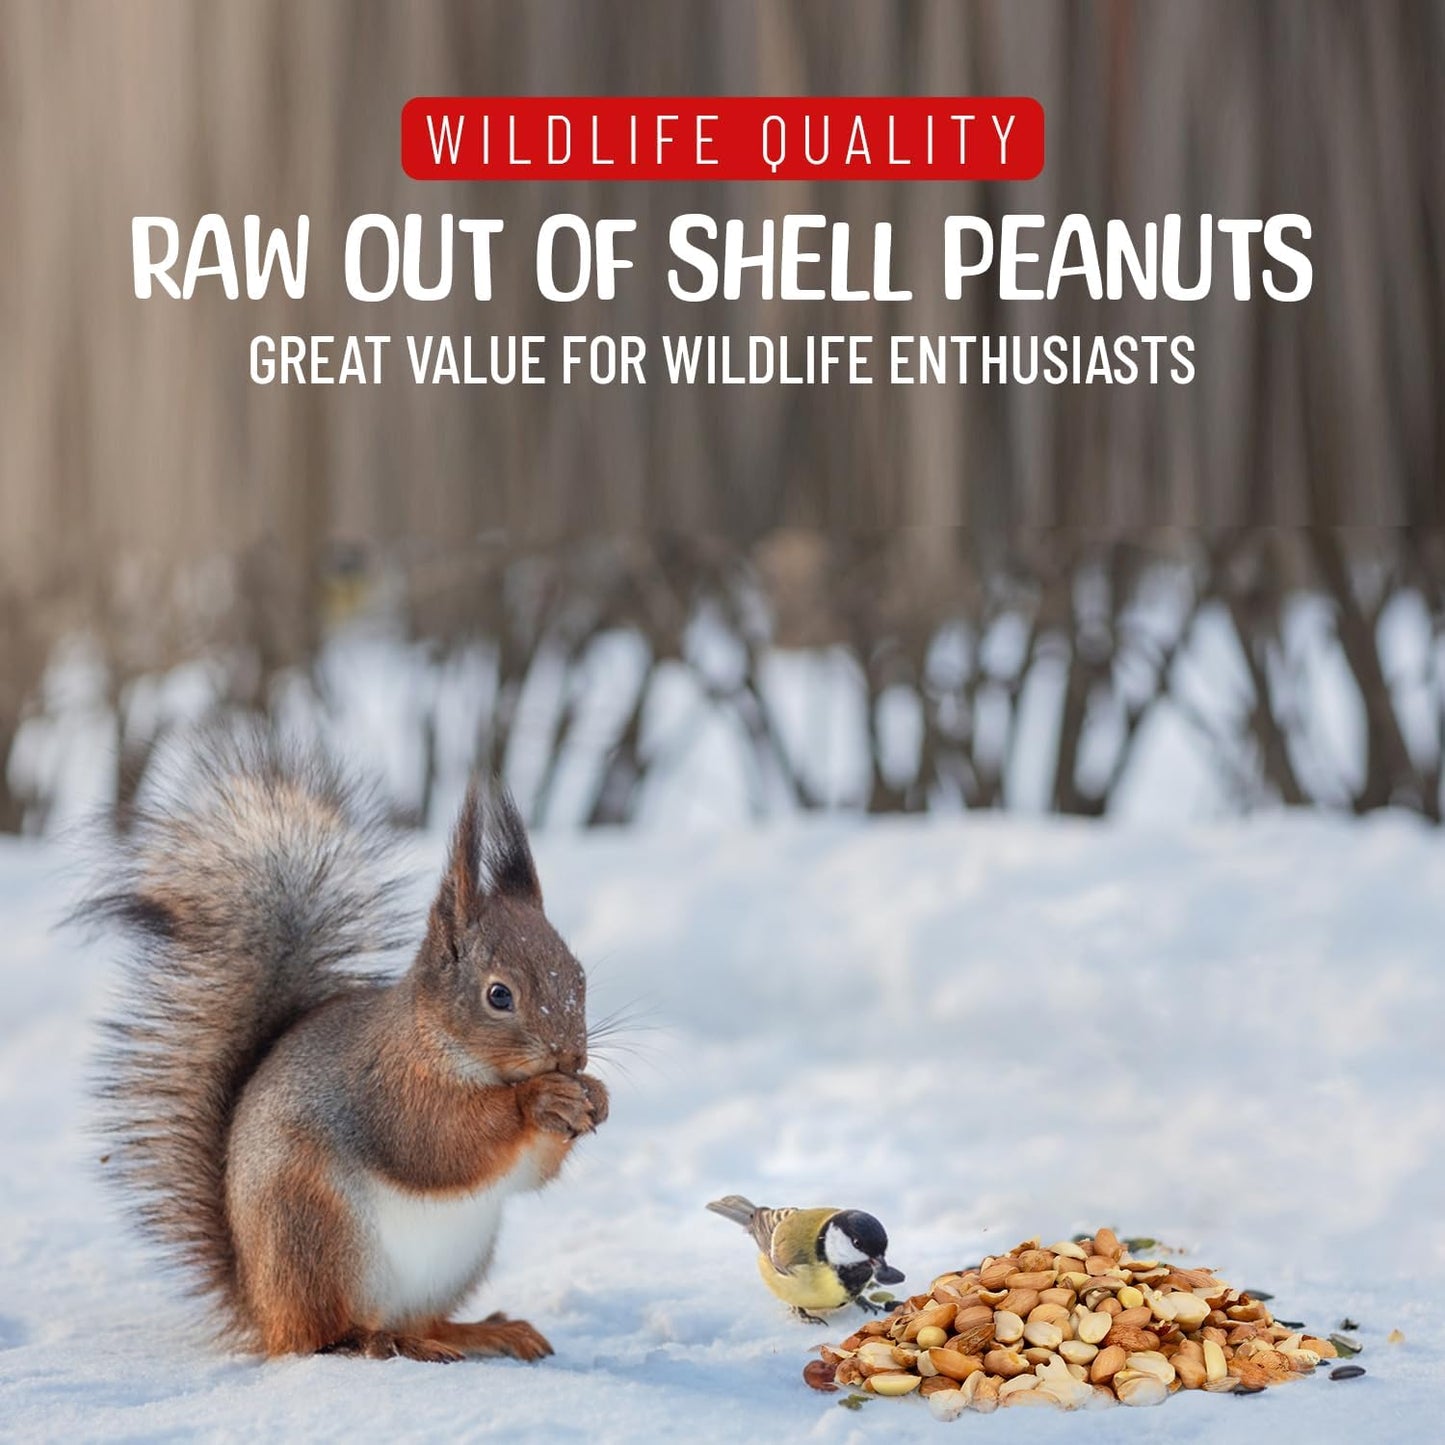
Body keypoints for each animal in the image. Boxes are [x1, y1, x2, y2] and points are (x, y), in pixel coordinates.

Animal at [81, 734, 608, 1363]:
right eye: (499, 995)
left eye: (579, 976)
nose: (570, 1058)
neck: (438, 1040)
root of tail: (261, 1306)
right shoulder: (387, 1087)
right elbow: (440, 1143)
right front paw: (540, 1101)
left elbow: (529, 1175)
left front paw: (595, 1096)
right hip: (317, 1231)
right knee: (320, 1335)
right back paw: (380, 1341)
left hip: (455, 1259)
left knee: (424, 1319)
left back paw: (478, 1331)